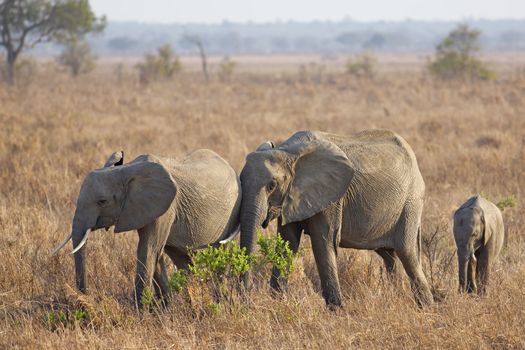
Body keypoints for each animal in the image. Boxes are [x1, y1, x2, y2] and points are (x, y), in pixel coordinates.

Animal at [52, 149, 241, 304]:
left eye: (102, 201)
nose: (85, 296)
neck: (126, 170)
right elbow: (155, 252)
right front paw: (165, 307)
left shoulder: (166, 207)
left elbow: (149, 249)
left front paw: (139, 310)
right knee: (181, 256)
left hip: (232, 213)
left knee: (222, 250)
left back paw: (221, 300)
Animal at [239, 130, 432, 308]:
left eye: (272, 185)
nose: (246, 299)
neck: (287, 152)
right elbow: (288, 242)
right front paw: (278, 301)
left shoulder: (332, 198)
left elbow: (323, 242)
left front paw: (336, 310)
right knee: (389, 255)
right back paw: (394, 296)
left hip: (411, 201)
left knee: (407, 252)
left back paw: (426, 306)